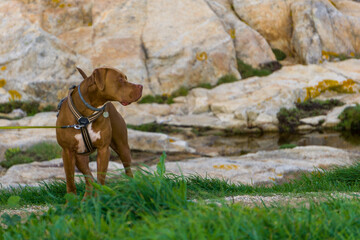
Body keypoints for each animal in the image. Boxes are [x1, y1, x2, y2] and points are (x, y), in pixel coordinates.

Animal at [55, 67, 143, 197]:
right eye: (120, 79)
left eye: (126, 78)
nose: (141, 86)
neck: (86, 115)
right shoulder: (67, 152)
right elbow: (70, 180)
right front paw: (71, 200)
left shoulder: (103, 150)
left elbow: (101, 178)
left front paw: (99, 197)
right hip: (79, 157)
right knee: (89, 178)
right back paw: (86, 199)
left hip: (123, 148)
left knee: (128, 170)